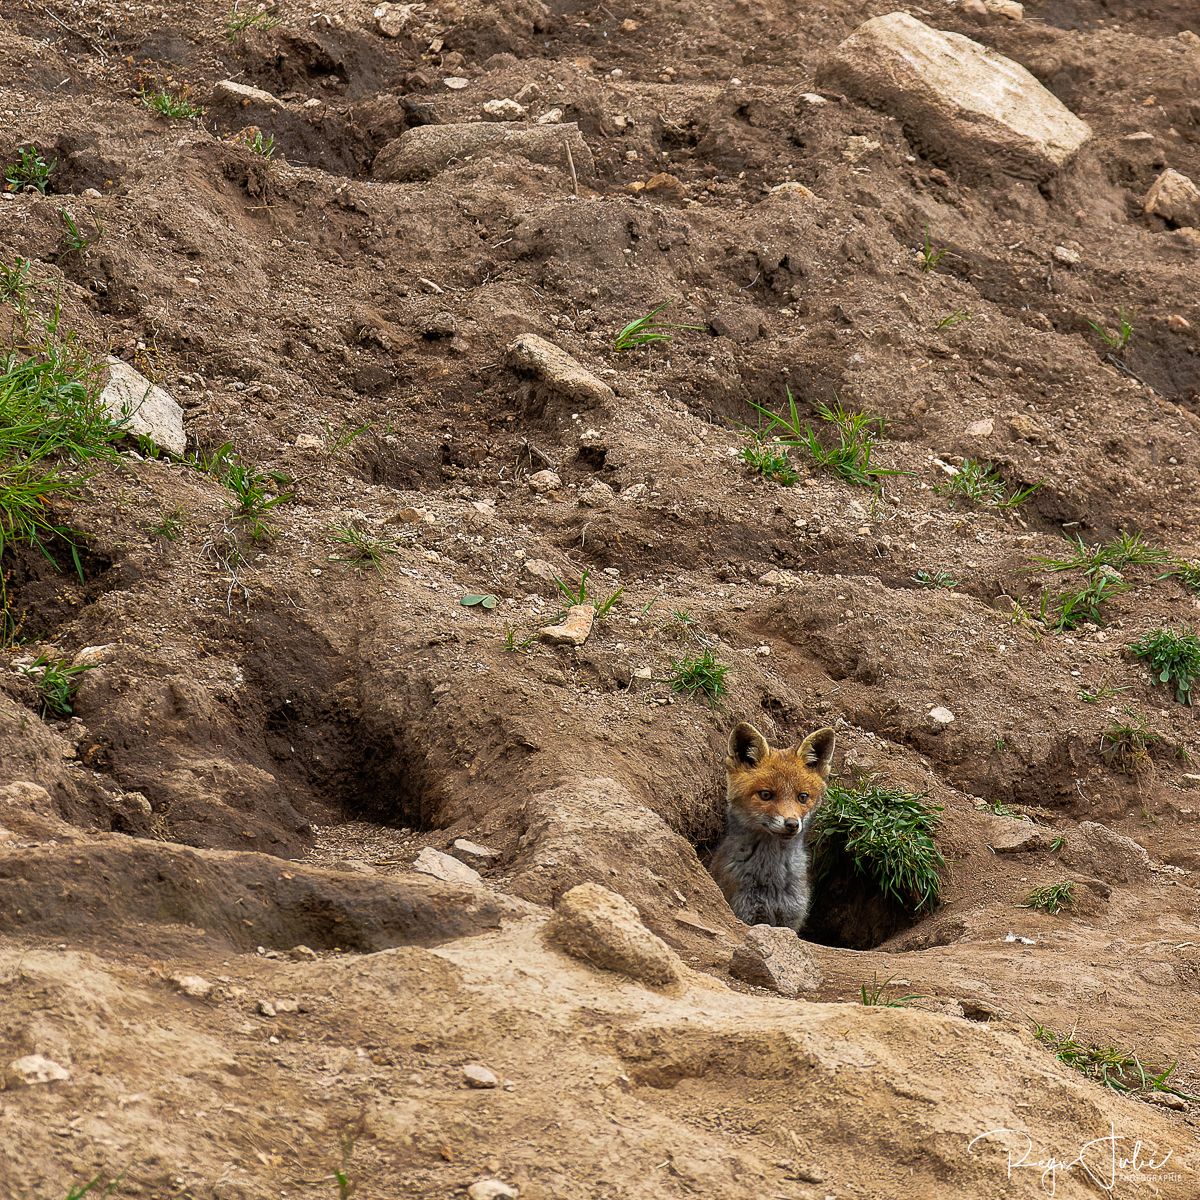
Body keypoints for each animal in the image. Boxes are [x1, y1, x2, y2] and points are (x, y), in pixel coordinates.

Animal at [710, 715, 835, 931]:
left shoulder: (791, 918)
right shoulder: (745, 913)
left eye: (802, 797)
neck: (772, 880)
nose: (792, 824)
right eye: (766, 795)